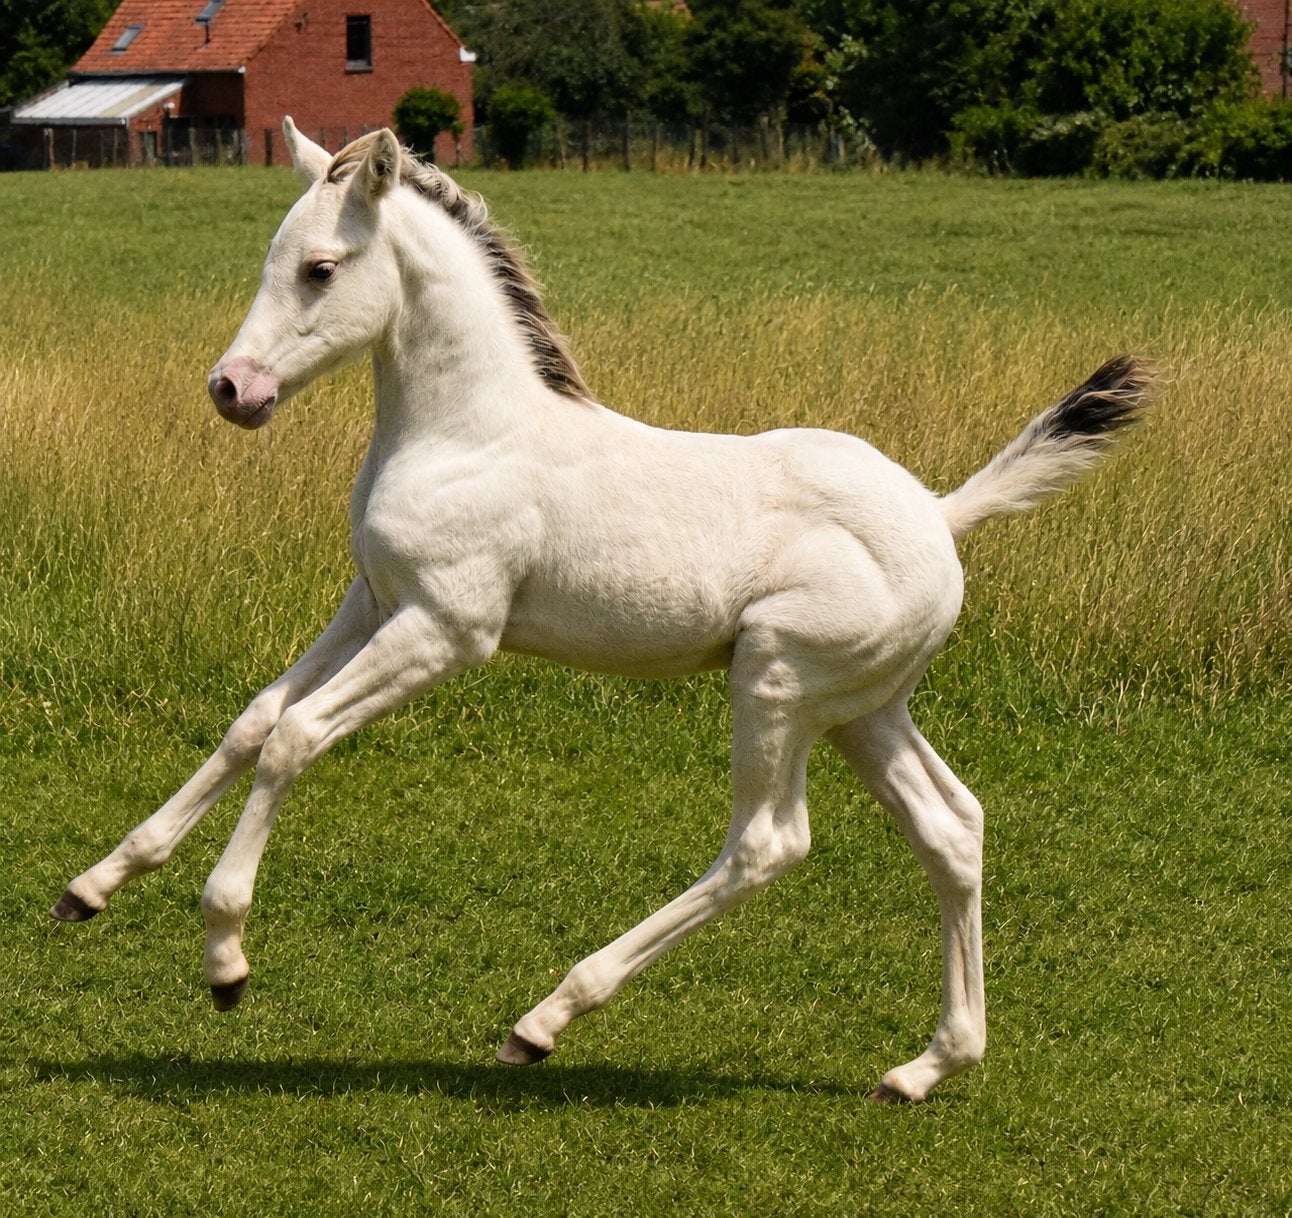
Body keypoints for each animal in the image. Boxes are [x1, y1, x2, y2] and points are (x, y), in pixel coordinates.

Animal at [51, 119, 1151, 1102]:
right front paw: (91, 888)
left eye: (321, 269)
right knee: (951, 827)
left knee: (768, 844)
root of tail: (940, 515)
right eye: (272, 259)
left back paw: (542, 1021)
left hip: (775, 680)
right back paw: (923, 1069)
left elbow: (294, 737)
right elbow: (252, 722)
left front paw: (225, 959)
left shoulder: (447, 630)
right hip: (863, 711)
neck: (466, 430)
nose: (232, 389)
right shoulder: (374, 601)